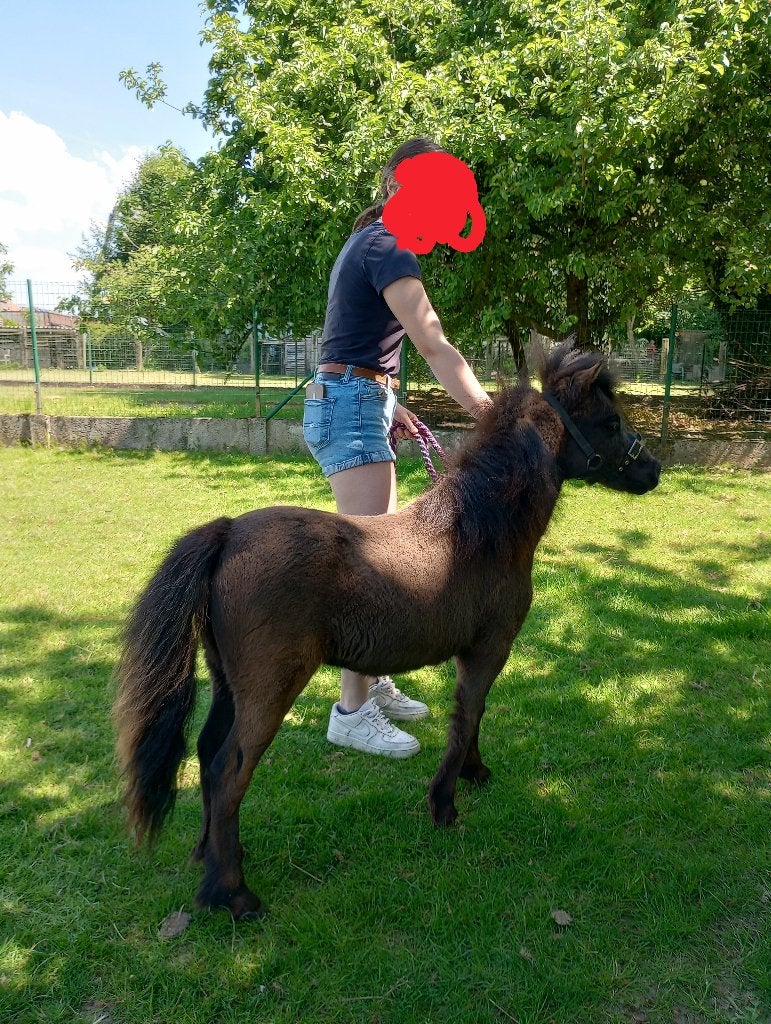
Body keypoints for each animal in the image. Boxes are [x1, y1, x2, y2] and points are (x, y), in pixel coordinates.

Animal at [114, 342, 661, 919]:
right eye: (609, 421)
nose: (653, 469)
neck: (478, 529)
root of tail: (228, 533)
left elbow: (473, 715)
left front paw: (475, 773)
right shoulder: (490, 648)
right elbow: (467, 717)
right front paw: (445, 804)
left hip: (226, 684)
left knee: (205, 750)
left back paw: (209, 853)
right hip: (269, 689)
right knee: (227, 771)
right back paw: (232, 892)